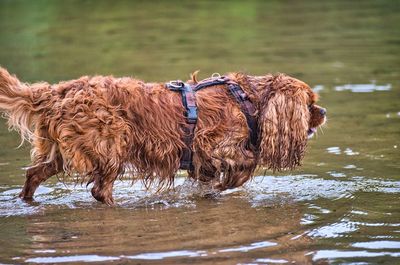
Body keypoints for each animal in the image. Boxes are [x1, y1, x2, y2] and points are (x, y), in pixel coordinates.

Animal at [0, 67, 324, 204]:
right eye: (310, 104)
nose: (323, 111)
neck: (247, 99)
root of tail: (56, 92)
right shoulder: (218, 145)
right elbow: (245, 164)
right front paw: (225, 184)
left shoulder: (204, 158)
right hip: (110, 147)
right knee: (100, 190)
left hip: (58, 152)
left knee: (34, 173)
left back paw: (26, 199)